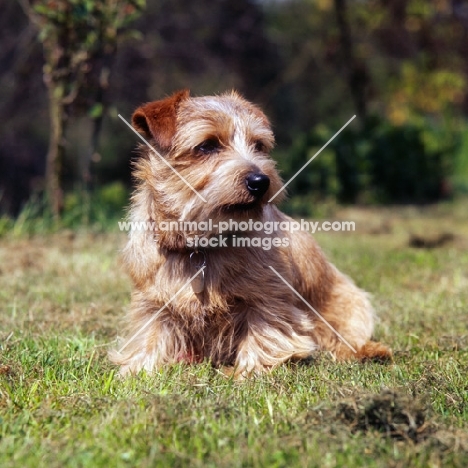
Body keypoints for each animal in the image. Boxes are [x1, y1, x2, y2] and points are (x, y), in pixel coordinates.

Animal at [110, 90, 392, 376]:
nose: (261, 181)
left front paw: (248, 371)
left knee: (344, 337)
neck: (201, 246)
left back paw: (370, 352)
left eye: (258, 145)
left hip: (351, 301)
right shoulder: (153, 302)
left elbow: (264, 333)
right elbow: (151, 336)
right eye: (207, 146)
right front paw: (136, 370)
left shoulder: (267, 298)